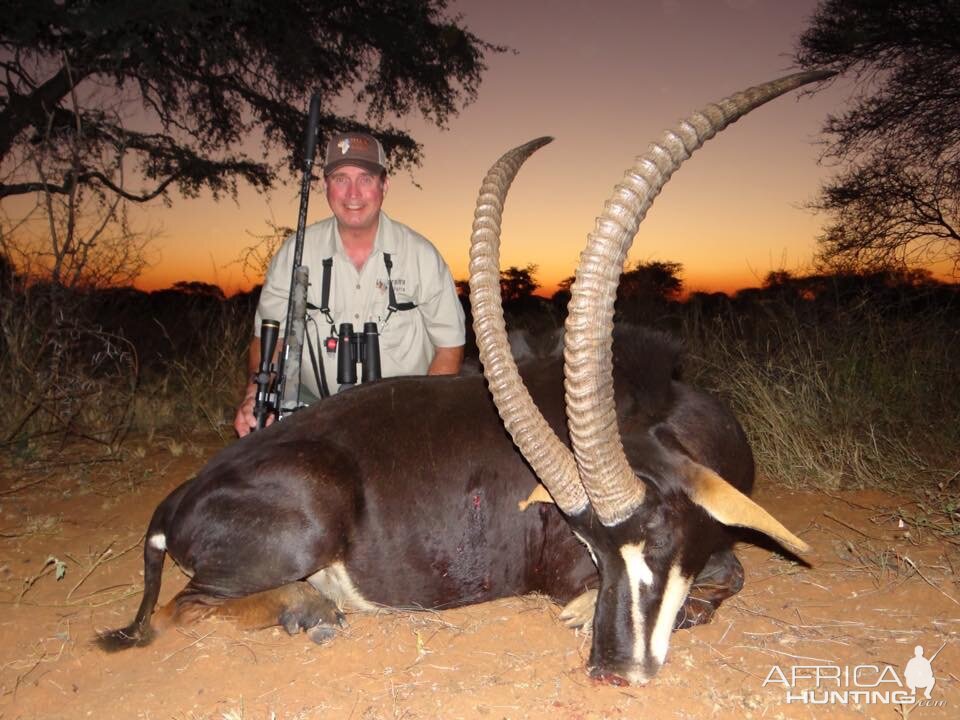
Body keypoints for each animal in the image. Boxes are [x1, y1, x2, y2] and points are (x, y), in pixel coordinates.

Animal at [99, 71, 832, 688]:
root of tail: (177, 500)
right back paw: (311, 608)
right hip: (303, 523)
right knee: (183, 608)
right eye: (593, 550)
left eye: (657, 539)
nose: (613, 670)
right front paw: (587, 613)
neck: (656, 412)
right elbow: (726, 572)